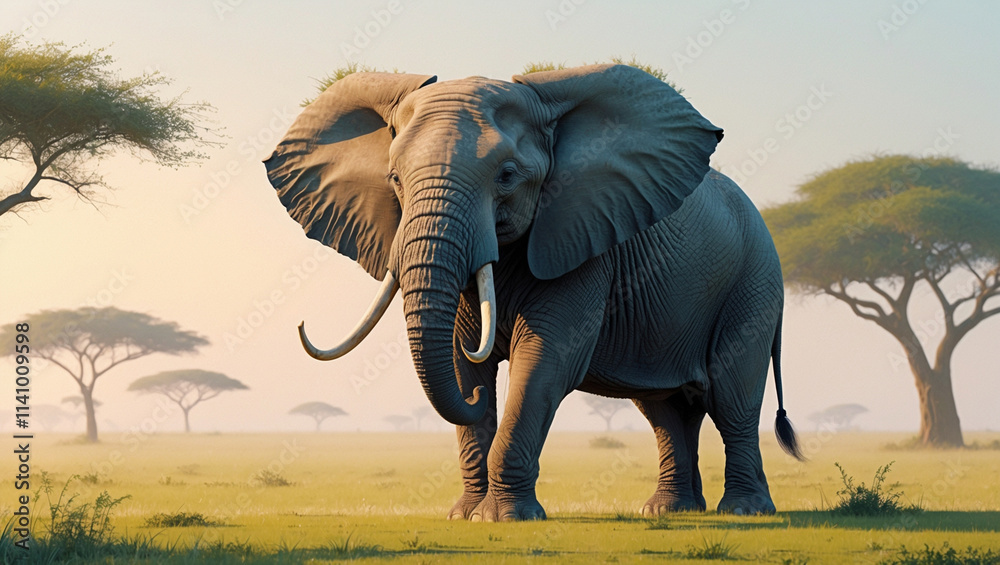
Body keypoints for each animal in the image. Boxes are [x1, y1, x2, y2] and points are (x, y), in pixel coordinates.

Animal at [264, 64, 802, 521]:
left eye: (507, 176)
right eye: (395, 179)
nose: (478, 397)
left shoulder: (581, 240)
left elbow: (546, 358)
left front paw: (503, 518)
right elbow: (460, 361)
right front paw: (465, 515)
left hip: (753, 282)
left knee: (731, 394)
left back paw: (744, 511)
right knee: (665, 409)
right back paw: (670, 511)